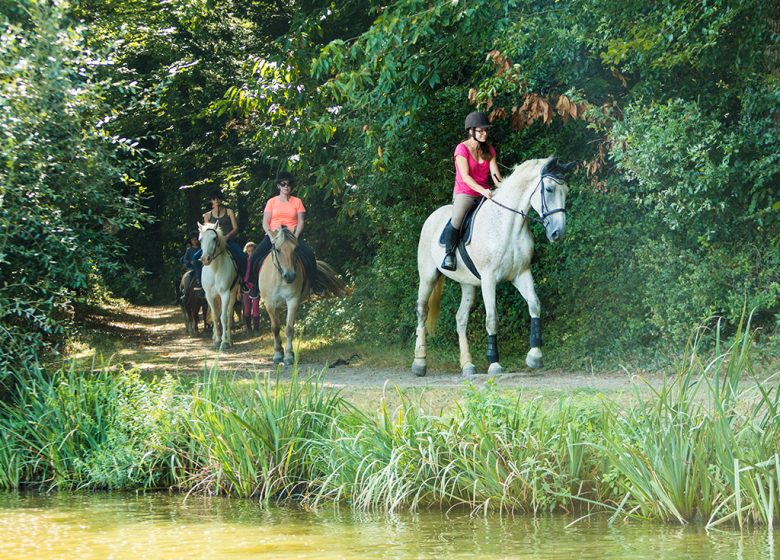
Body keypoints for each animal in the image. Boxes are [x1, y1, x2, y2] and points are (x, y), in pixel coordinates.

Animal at [258, 225, 344, 366]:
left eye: (296, 249)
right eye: (277, 249)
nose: (290, 276)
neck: (279, 278)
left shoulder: (292, 300)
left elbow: (289, 328)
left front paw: (288, 356)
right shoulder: (269, 303)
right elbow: (275, 328)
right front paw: (277, 354)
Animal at [414, 156, 572, 376]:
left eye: (566, 191)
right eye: (548, 189)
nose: (558, 233)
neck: (509, 225)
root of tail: (431, 217)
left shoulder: (521, 274)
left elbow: (534, 305)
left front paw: (535, 356)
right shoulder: (489, 279)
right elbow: (492, 319)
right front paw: (494, 363)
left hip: (468, 284)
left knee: (460, 319)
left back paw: (468, 365)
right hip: (428, 277)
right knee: (422, 311)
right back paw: (419, 363)